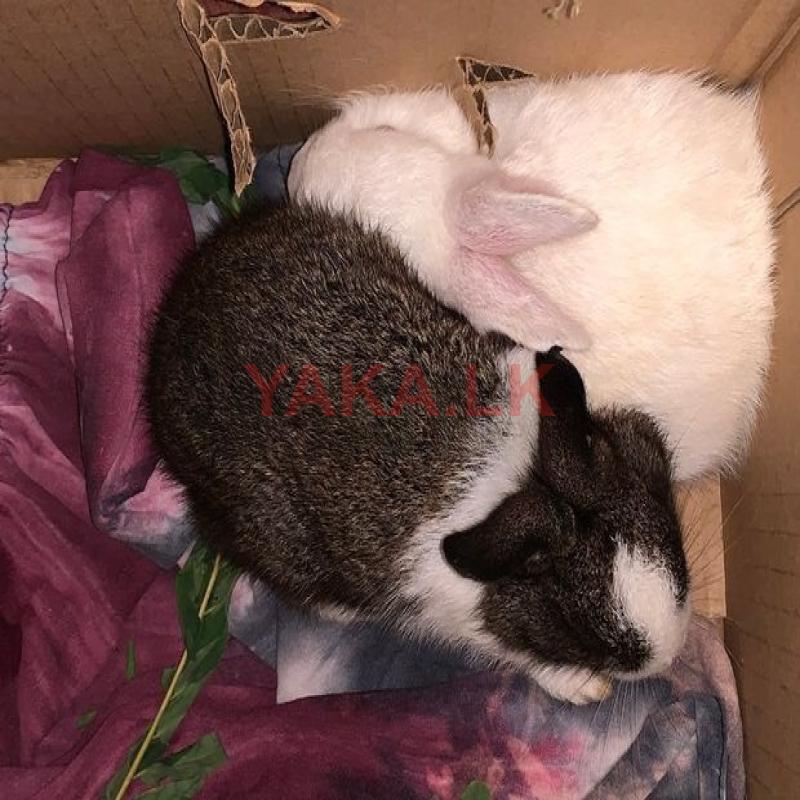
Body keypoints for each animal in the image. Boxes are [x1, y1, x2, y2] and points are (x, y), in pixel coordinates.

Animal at [146, 201, 690, 704]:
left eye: (673, 540)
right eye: (584, 630)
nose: (668, 657)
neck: (519, 475)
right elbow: (515, 654)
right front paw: (583, 686)